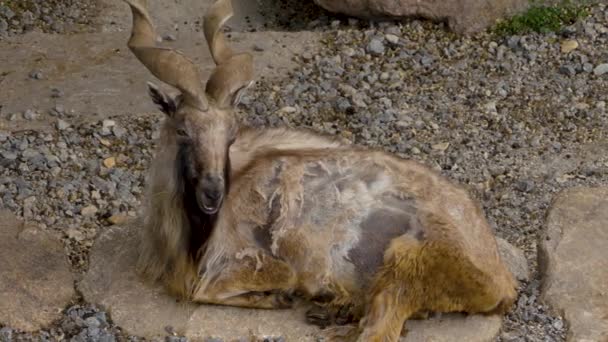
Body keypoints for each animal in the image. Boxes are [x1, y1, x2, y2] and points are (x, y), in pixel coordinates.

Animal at [124, 1, 516, 340]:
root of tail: (502, 279)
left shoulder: (252, 261)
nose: (212, 193)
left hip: (407, 264)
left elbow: (205, 288)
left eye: (231, 133)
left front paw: (277, 297)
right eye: (182, 130)